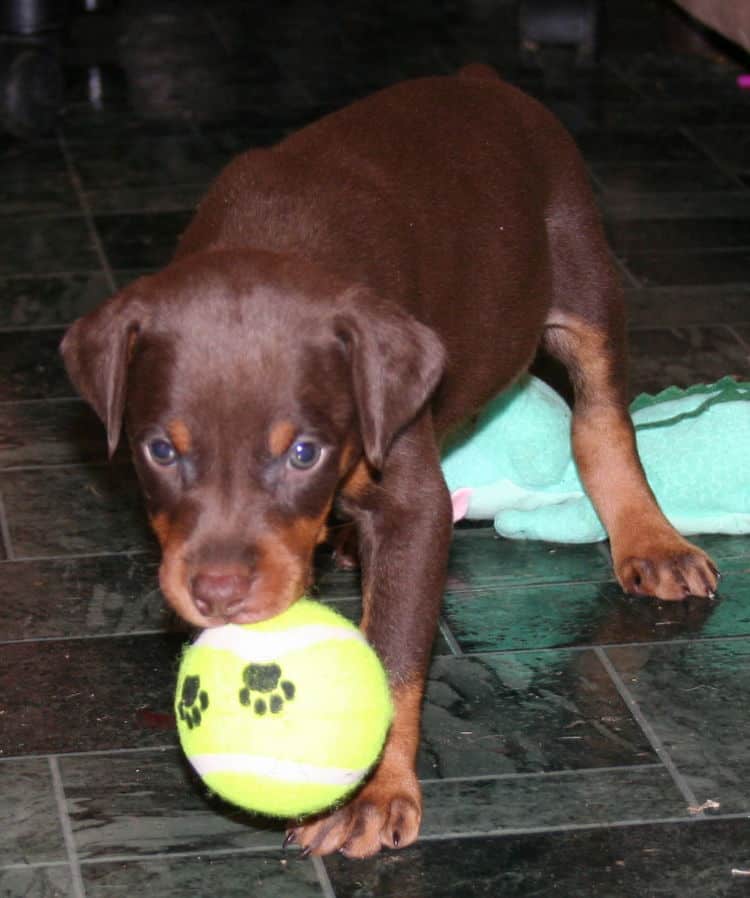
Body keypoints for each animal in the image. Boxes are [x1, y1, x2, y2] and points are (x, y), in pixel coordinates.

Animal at [61, 66, 720, 856]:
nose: (218, 593)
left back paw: (652, 539)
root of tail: (482, 79)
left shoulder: (410, 494)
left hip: (582, 273)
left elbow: (396, 656)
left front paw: (373, 792)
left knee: (602, 422)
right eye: (160, 450)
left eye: (304, 453)